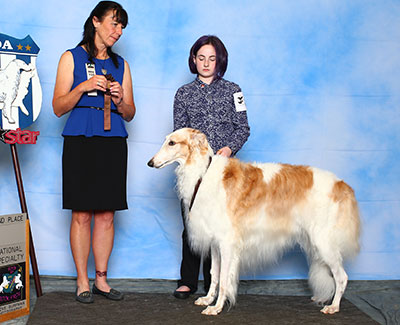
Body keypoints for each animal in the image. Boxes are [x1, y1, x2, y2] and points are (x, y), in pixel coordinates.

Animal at [148, 128, 360, 316]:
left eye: (172, 142)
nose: (150, 162)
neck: (203, 173)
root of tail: (341, 184)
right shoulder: (216, 243)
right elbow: (214, 274)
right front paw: (208, 299)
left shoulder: (227, 243)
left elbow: (224, 280)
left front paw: (216, 308)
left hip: (323, 242)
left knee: (342, 277)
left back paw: (334, 306)